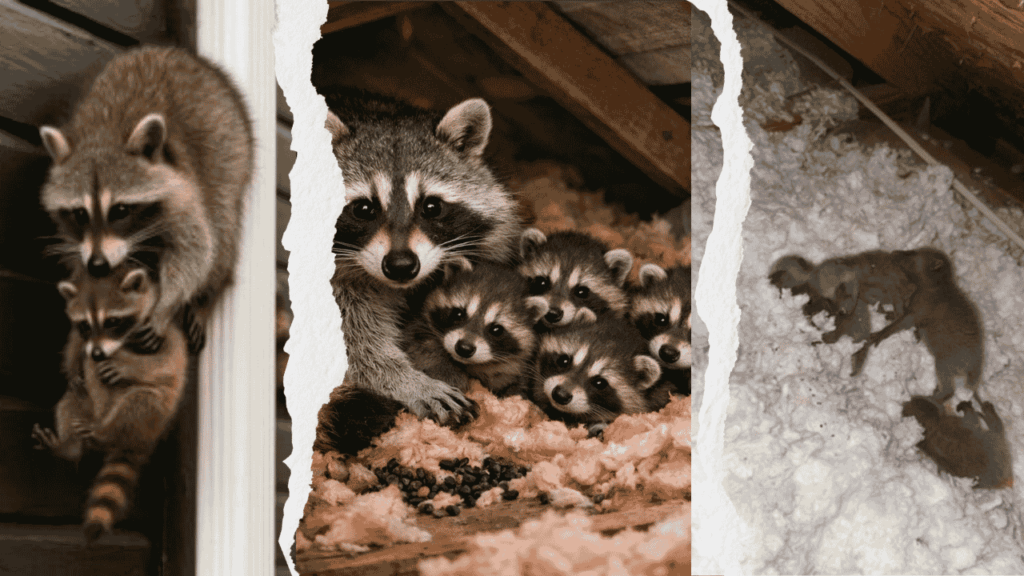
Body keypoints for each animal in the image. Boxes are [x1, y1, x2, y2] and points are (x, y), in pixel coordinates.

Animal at [32, 265, 188, 542]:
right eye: (84, 325)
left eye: (113, 322)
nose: (97, 352)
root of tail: (141, 440)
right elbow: (76, 349)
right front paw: (73, 365)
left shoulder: (161, 330)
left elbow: (168, 361)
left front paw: (128, 365)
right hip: (84, 406)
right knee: (71, 398)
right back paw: (70, 447)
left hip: (152, 415)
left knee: (139, 400)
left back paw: (105, 433)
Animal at [38, 45, 254, 353]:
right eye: (80, 213)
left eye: (120, 210)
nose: (98, 265)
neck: (103, 135)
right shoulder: (71, 230)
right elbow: (77, 255)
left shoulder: (183, 191)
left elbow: (195, 251)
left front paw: (166, 305)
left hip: (231, 152)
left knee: (221, 228)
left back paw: (207, 295)